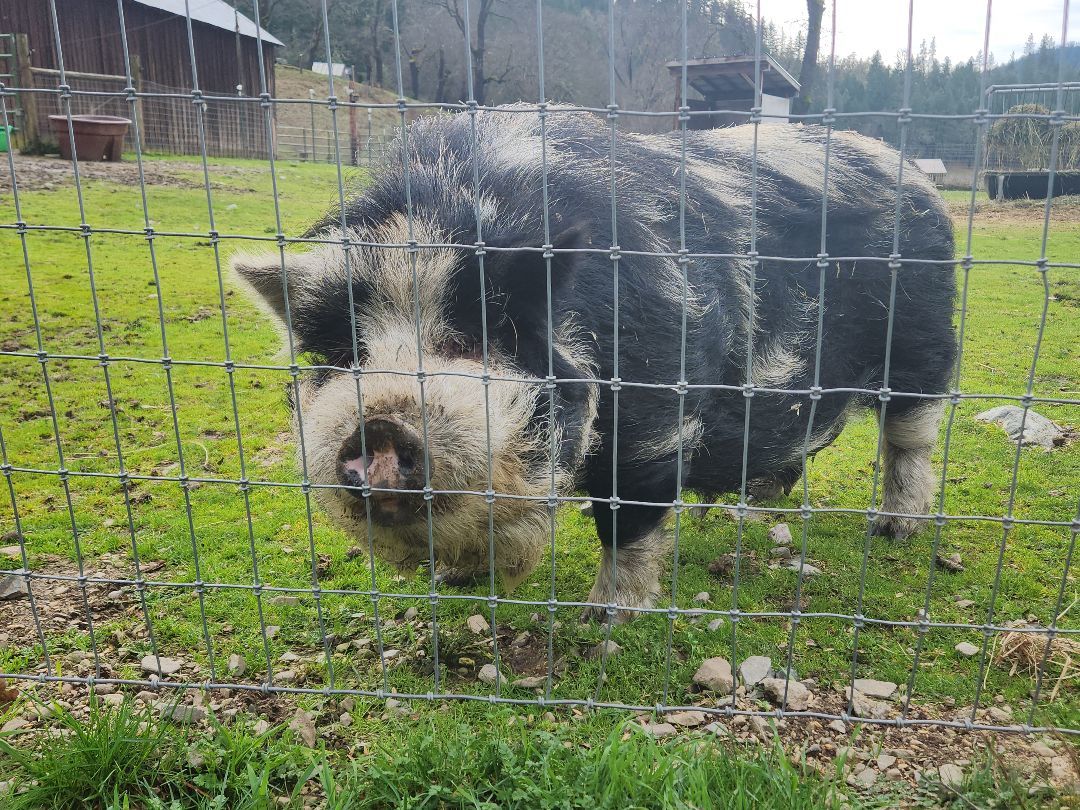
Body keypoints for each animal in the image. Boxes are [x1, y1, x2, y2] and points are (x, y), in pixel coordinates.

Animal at [232, 107, 955, 622]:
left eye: (477, 339)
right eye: (344, 354)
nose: (378, 428)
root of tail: (910, 170)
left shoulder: (655, 420)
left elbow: (626, 523)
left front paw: (605, 620)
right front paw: (455, 578)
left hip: (922, 346)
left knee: (909, 438)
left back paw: (894, 531)